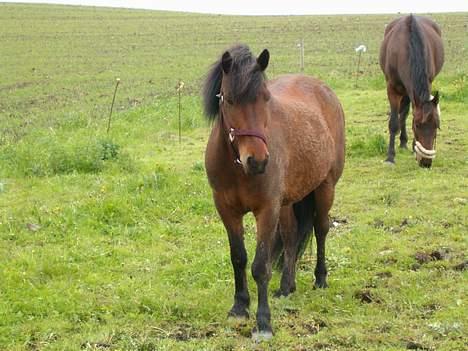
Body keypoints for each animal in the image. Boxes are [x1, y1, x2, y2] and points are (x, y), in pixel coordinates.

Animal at [201, 44, 344, 340]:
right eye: (229, 100)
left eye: (265, 98)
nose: (257, 161)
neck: (237, 168)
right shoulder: (227, 210)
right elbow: (238, 258)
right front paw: (239, 307)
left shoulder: (266, 210)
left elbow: (260, 266)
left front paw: (263, 322)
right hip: (288, 202)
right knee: (290, 237)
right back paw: (286, 287)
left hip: (325, 187)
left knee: (321, 229)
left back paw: (320, 278)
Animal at [380, 14, 442, 168]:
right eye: (417, 125)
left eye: (436, 126)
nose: (426, 163)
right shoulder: (392, 89)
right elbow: (394, 122)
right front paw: (390, 157)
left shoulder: (426, 84)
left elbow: (408, 114)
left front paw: (414, 147)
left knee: (405, 113)